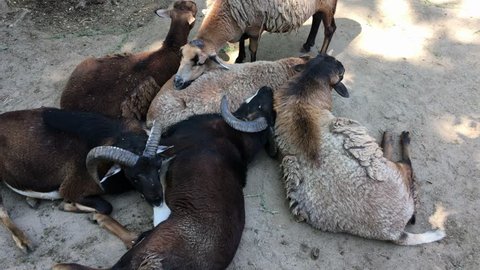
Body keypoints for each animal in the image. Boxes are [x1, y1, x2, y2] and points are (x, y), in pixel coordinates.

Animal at [172, 0, 338, 89]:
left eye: (199, 63)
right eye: (181, 57)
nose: (176, 82)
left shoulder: (255, 27)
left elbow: (252, 49)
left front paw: (250, 63)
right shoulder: (243, 24)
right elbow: (241, 41)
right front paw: (239, 58)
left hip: (328, 5)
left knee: (330, 29)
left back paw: (322, 54)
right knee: (317, 18)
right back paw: (308, 43)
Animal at [274, 54, 446, 245]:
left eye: (322, 56)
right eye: (340, 72)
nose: (337, 61)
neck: (304, 89)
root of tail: (395, 233)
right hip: (392, 169)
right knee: (405, 165)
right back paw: (397, 137)